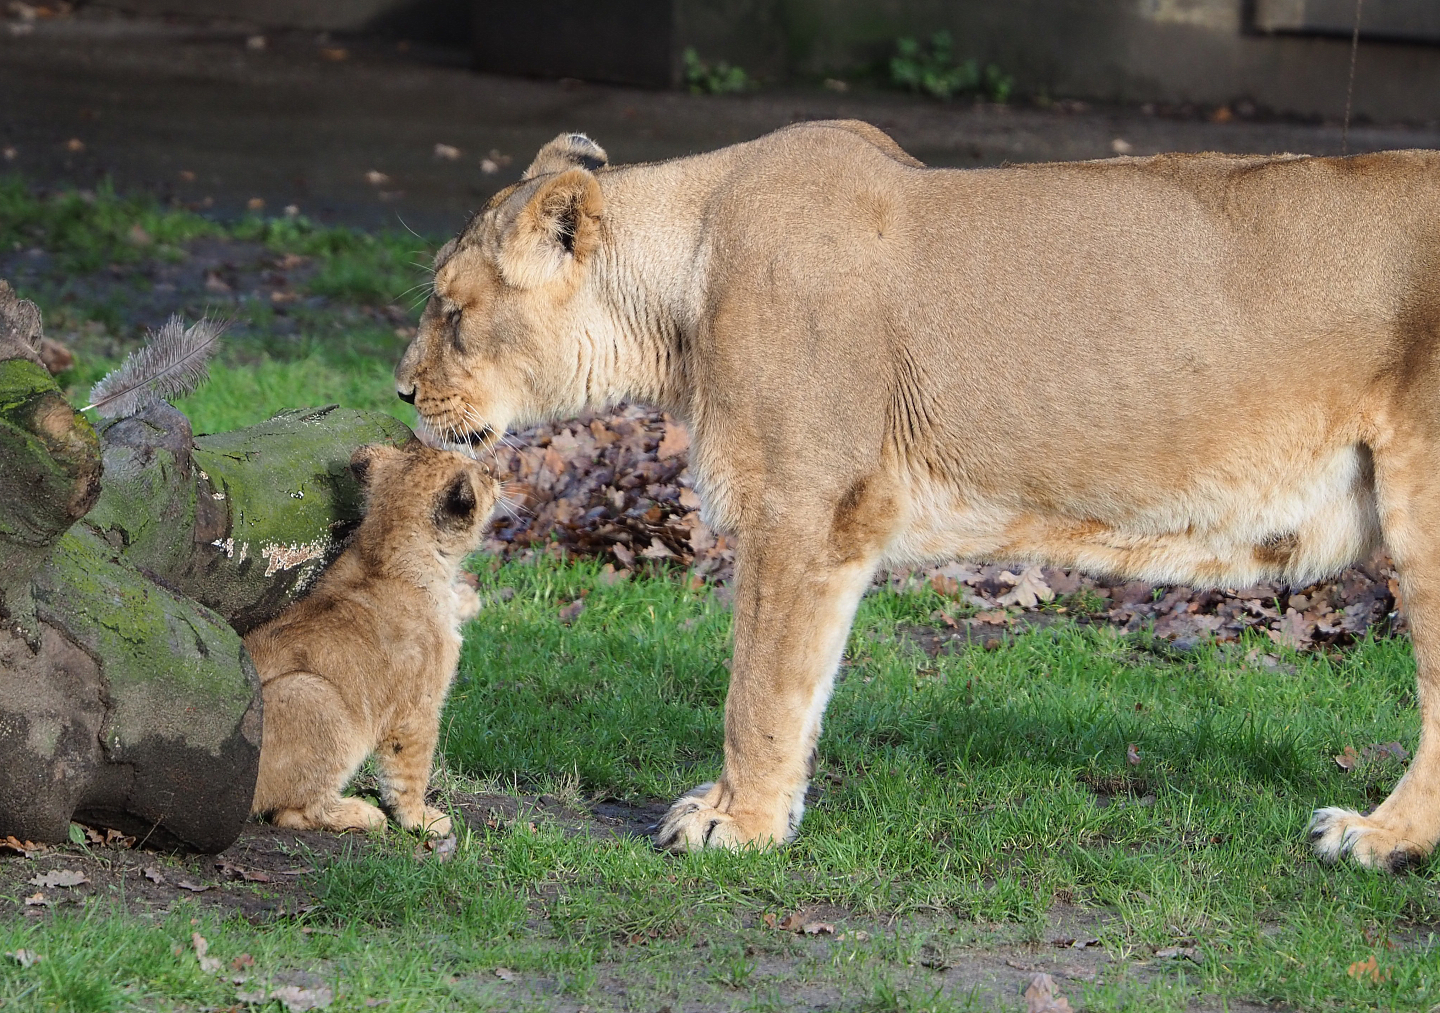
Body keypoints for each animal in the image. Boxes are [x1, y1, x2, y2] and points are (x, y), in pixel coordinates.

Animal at [247, 441, 498, 835]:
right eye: (483, 474)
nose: (496, 473)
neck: (384, 555)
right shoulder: (417, 708)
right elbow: (410, 772)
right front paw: (420, 819)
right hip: (314, 695)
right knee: (292, 813)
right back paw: (364, 814)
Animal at [395, 121, 1440, 871]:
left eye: (452, 310)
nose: (401, 391)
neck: (686, 285)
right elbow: (801, 685)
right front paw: (755, 809)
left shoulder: (803, 508)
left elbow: (758, 686)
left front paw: (738, 825)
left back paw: (1377, 840)